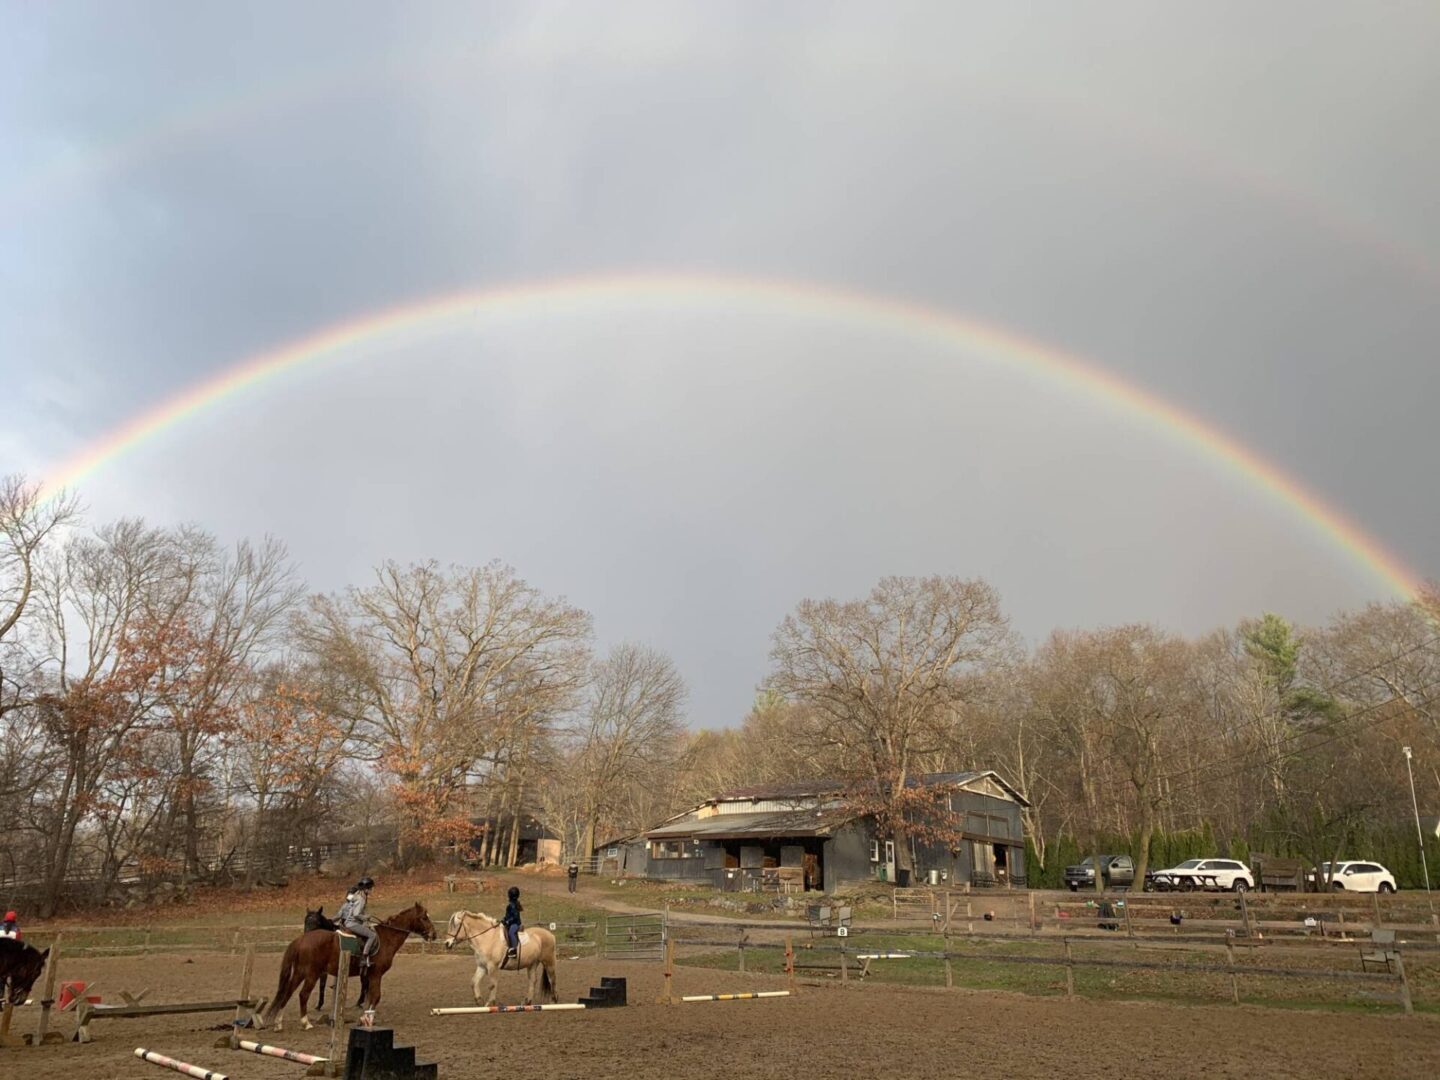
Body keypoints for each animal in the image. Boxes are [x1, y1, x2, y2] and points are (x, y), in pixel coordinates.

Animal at [259, 898, 434, 1036]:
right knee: (303, 995)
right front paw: (365, 1019)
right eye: (424, 917)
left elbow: (370, 996)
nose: (434, 934)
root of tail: (302, 939)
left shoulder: (369, 976)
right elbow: (376, 996)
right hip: (311, 974)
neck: (386, 938)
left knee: (287, 993)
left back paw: (278, 1024)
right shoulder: (376, 974)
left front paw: (364, 1017)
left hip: (300, 973)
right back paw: (306, 1023)